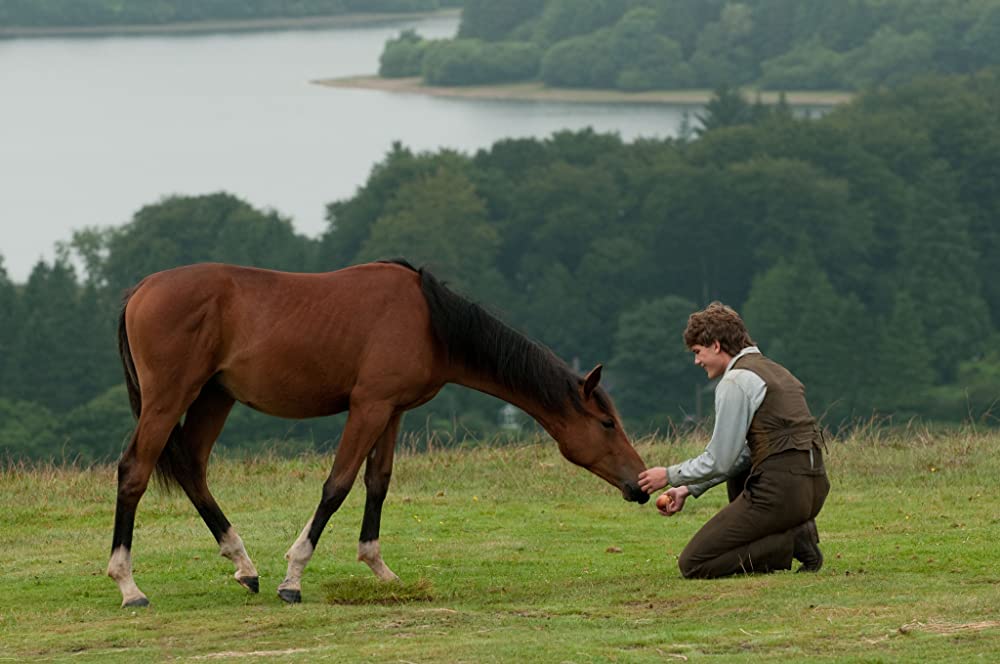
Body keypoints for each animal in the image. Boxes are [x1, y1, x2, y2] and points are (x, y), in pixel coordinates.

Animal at [108, 259, 649, 608]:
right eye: (607, 424)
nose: (641, 484)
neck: (429, 321)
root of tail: (140, 290)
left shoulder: (392, 412)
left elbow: (377, 484)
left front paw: (378, 568)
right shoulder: (368, 408)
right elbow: (337, 486)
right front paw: (294, 576)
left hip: (213, 398)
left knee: (193, 470)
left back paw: (243, 564)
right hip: (170, 398)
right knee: (134, 472)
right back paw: (128, 584)